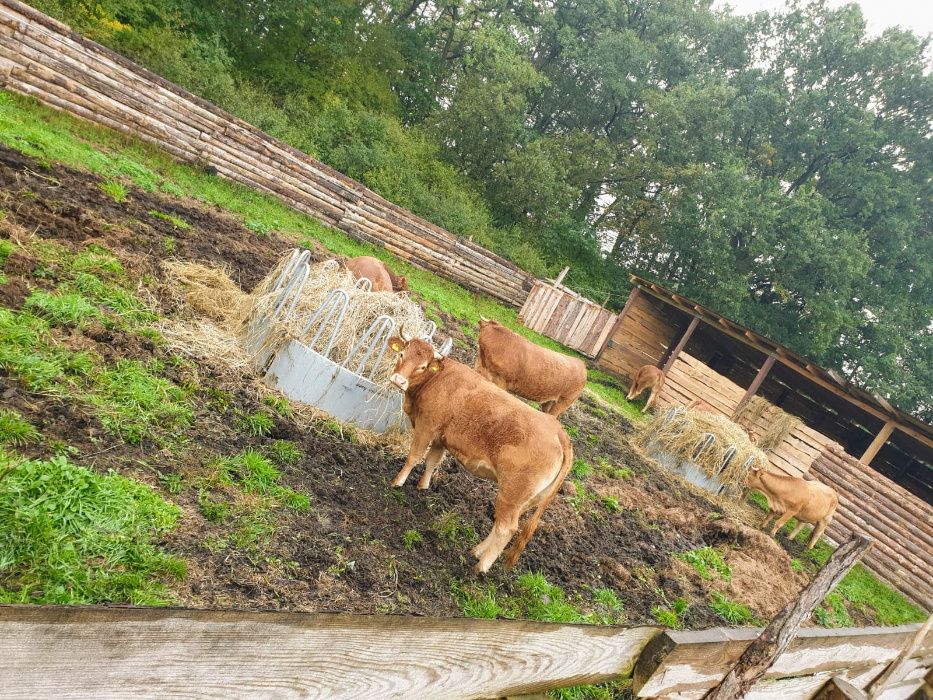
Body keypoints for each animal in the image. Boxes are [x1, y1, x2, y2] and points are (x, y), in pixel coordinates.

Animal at [384, 326, 572, 572]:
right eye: (401, 355)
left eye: (423, 366)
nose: (398, 380)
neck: (439, 378)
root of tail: (557, 430)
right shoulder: (441, 438)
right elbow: (432, 461)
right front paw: (422, 486)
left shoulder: (426, 426)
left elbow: (414, 456)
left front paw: (397, 482)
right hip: (524, 501)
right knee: (502, 524)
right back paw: (477, 551)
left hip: (511, 495)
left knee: (507, 528)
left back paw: (481, 566)